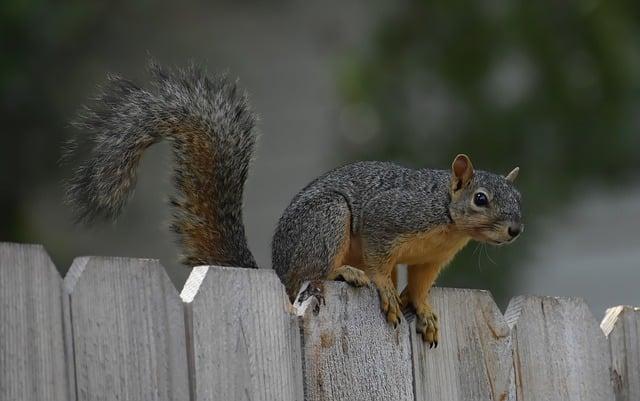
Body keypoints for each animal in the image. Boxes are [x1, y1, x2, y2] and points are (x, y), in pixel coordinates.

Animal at [67, 61, 524, 344]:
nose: (515, 230)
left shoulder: (430, 259)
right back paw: (345, 273)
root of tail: (278, 269)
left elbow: (422, 283)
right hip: (327, 220)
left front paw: (424, 309)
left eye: (519, 199)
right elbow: (380, 263)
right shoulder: (389, 220)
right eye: (480, 199)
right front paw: (384, 289)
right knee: (314, 273)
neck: (446, 218)